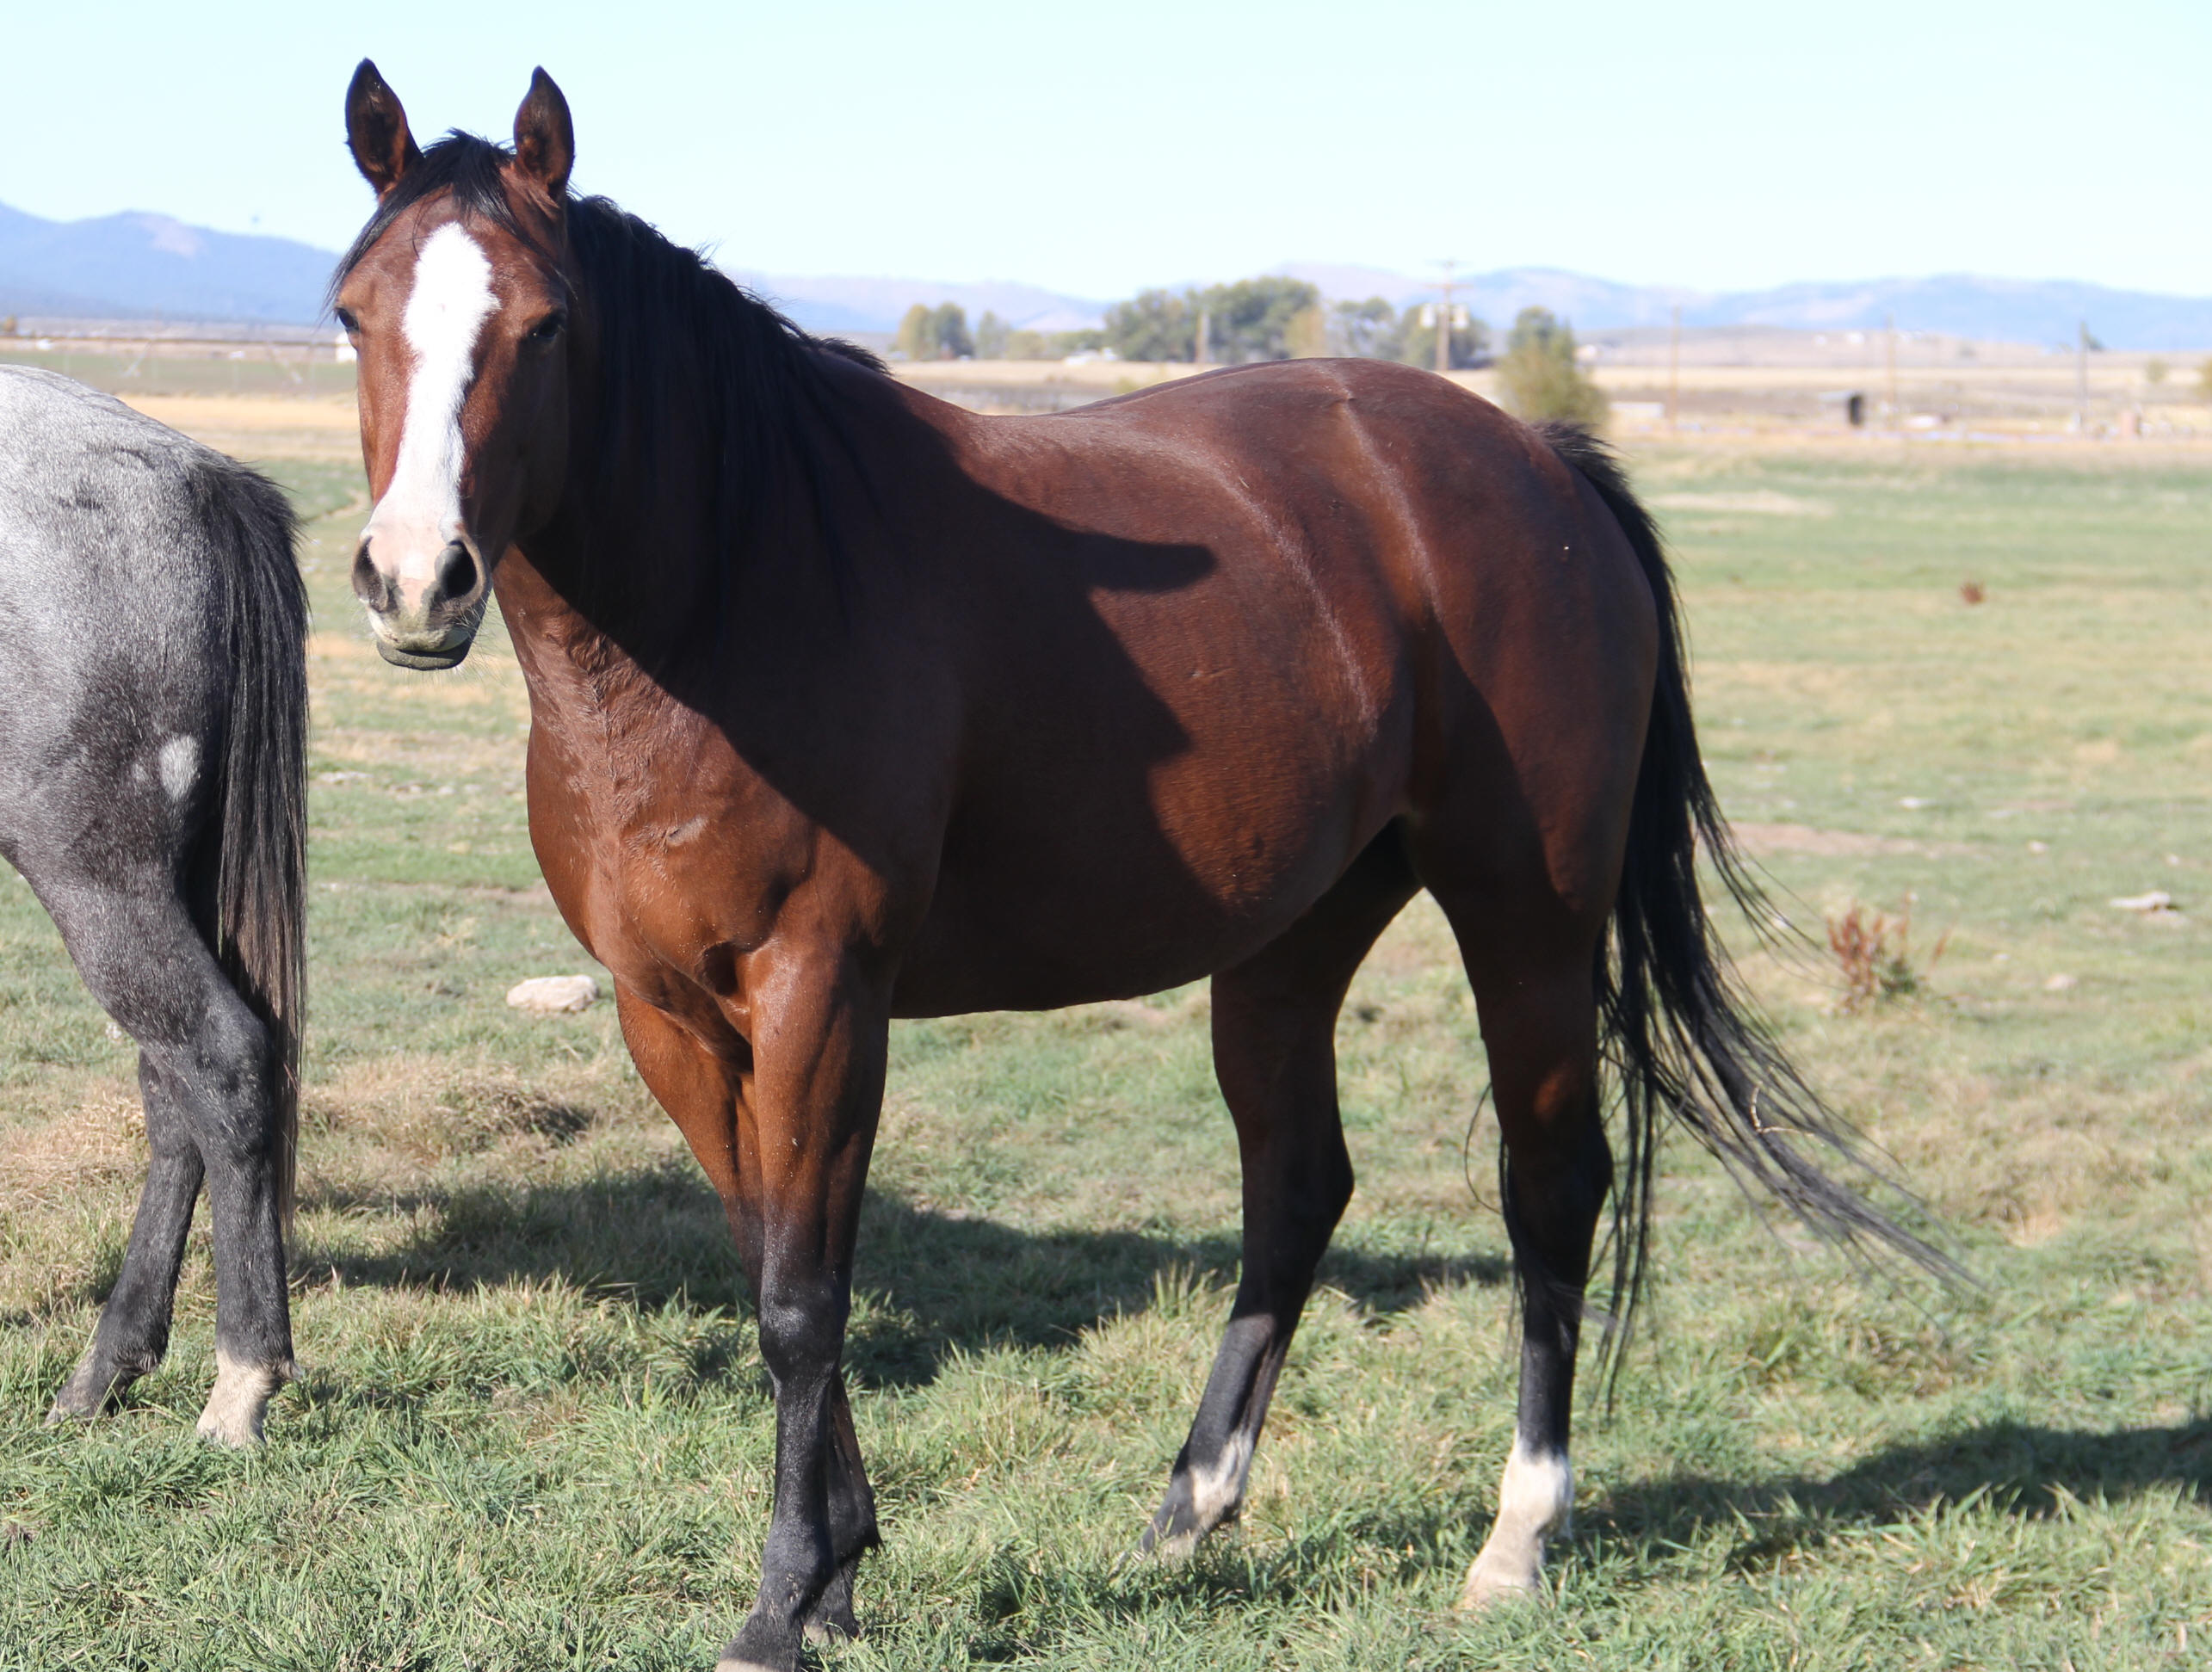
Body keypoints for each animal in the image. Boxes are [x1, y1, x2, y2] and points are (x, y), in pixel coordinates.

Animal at [0, 367, 307, 1446]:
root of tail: (189, 474)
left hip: (98, 879)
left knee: (220, 1060)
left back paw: (240, 1383)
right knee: (176, 1092)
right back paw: (104, 1368)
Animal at [333, 63, 1938, 1671]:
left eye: (546, 324)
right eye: (354, 310)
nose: (417, 580)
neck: (733, 593)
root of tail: (1540, 459)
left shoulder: (821, 998)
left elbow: (803, 1296)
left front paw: (785, 1600)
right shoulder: (668, 1013)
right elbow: (771, 1269)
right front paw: (841, 1569)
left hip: (1526, 920)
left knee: (1551, 1185)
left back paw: (1512, 1540)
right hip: (1294, 936)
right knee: (1297, 1186)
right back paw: (1192, 1505)